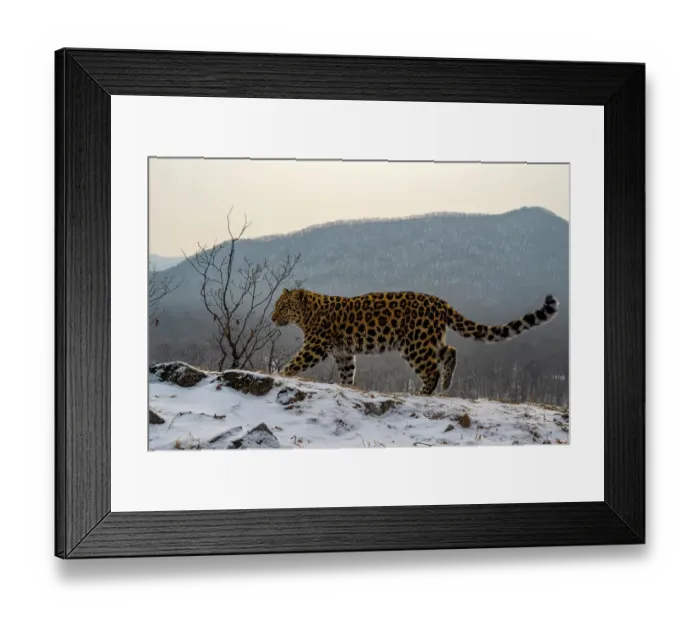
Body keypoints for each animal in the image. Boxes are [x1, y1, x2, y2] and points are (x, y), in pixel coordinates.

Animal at [271, 287, 559, 396]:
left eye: (283, 306)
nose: (272, 318)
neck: (307, 314)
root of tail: (440, 302)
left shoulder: (315, 346)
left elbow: (294, 364)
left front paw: (279, 374)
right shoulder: (344, 354)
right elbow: (347, 374)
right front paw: (347, 387)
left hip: (415, 345)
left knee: (431, 370)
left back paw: (423, 392)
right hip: (428, 340)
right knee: (450, 351)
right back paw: (446, 383)